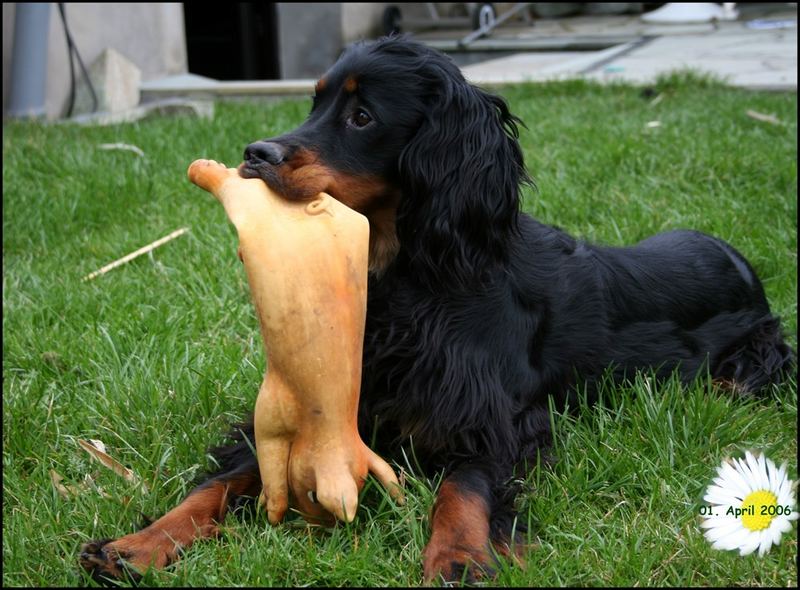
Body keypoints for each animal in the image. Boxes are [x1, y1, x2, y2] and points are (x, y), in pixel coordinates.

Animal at [78, 38, 792, 588]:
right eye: (315, 102)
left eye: (363, 115)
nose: (257, 154)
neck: (412, 280)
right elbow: (223, 479)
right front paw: (137, 545)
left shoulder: (497, 419)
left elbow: (464, 487)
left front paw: (459, 555)